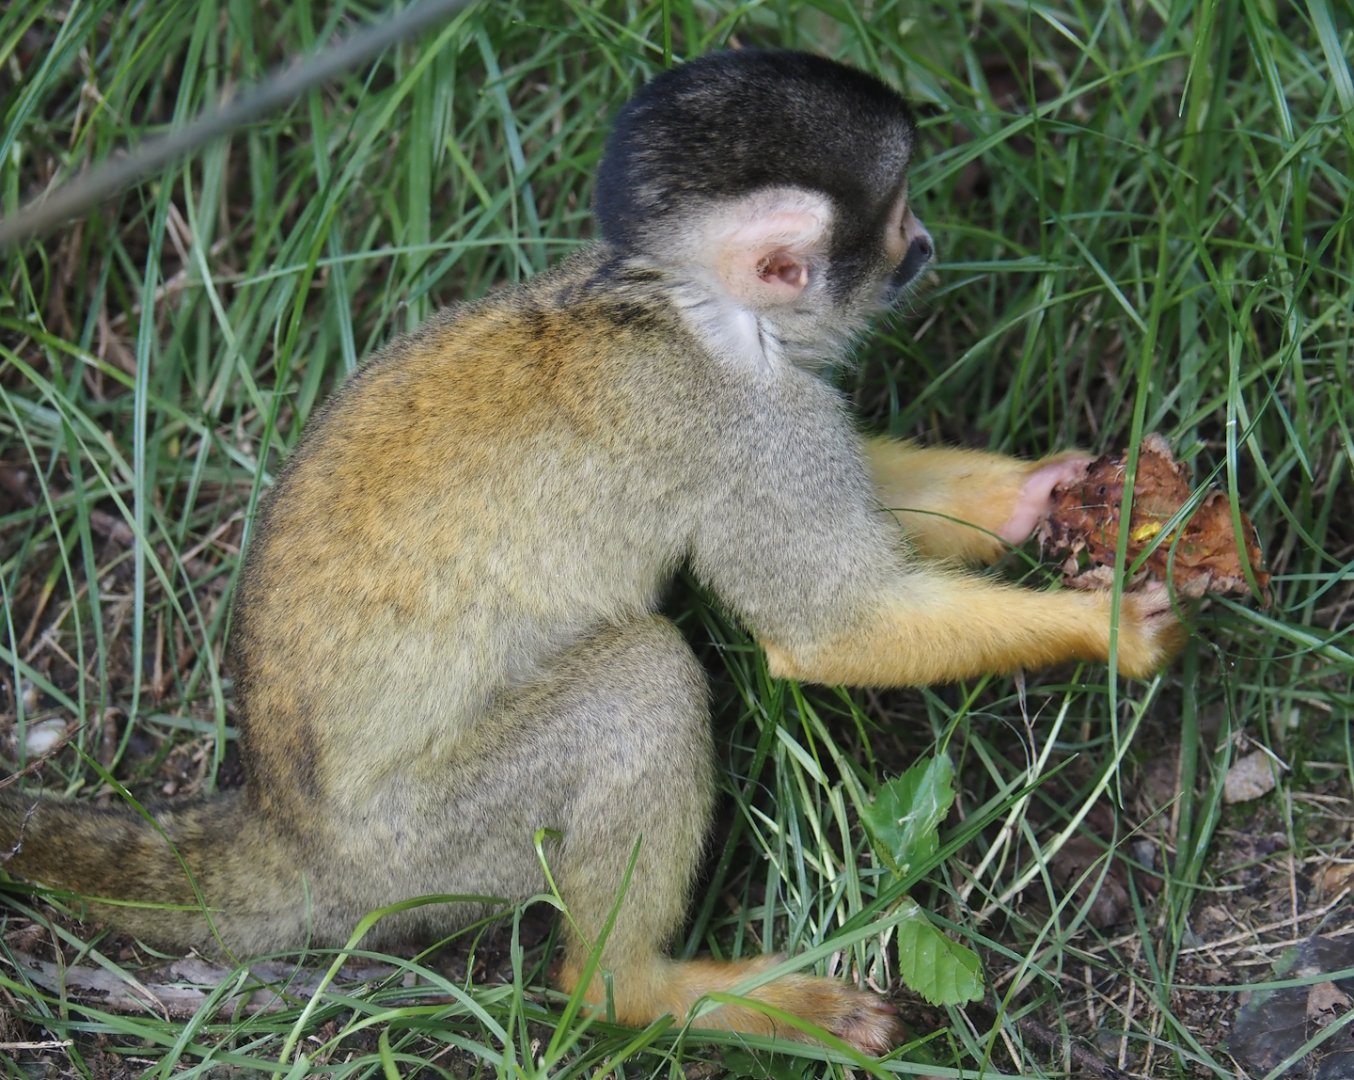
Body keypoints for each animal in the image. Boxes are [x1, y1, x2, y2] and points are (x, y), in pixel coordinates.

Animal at [0, 49, 1184, 1054]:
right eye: (893, 221)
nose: (927, 241)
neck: (683, 308)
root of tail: (282, 832)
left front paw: (1041, 497)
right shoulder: (746, 427)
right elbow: (829, 628)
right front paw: (1107, 627)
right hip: (433, 846)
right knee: (642, 681)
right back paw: (641, 990)